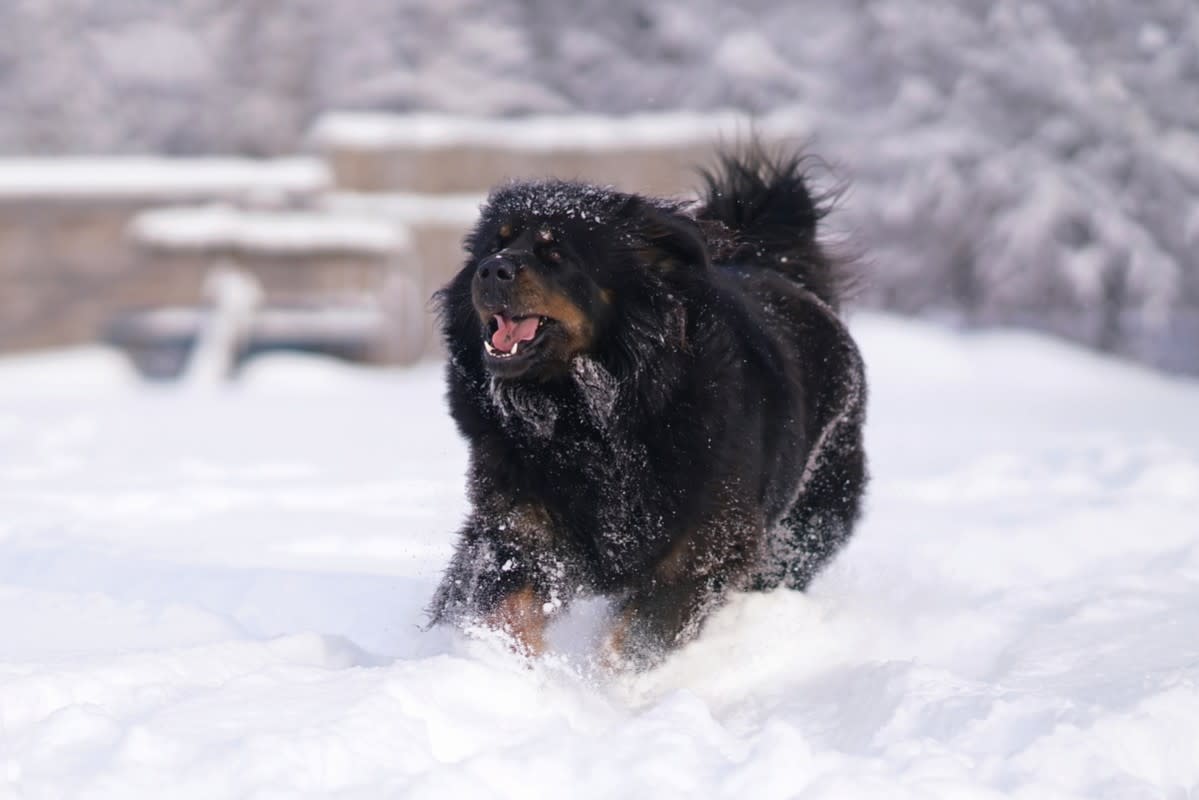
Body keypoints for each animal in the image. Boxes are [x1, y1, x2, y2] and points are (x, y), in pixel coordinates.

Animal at [426, 145, 868, 671]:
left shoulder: (705, 545)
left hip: (803, 526)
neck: (587, 418)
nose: (492, 269)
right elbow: (504, 604)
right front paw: (501, 663)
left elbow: (638, 633)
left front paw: (605, 682)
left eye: (556, 254)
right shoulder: (520, 520)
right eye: (496, 243)